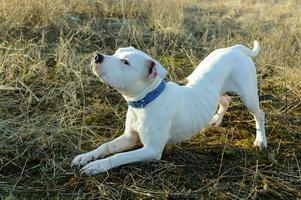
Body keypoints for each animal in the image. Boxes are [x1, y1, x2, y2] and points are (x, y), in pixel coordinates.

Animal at [71, 40, 266, 175]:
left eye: (125, 62)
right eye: (115, 52)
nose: (97, 56)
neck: (145, 101)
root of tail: (235, 49)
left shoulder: (151, 150)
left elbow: (120, 156)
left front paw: (98, 165)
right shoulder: (129, 138)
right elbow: (105, 146)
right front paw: (86, 156)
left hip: (248, 95)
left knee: (259, 114)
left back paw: (260, 140)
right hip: (218, 89)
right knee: (225, 100)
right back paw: (216, 120)